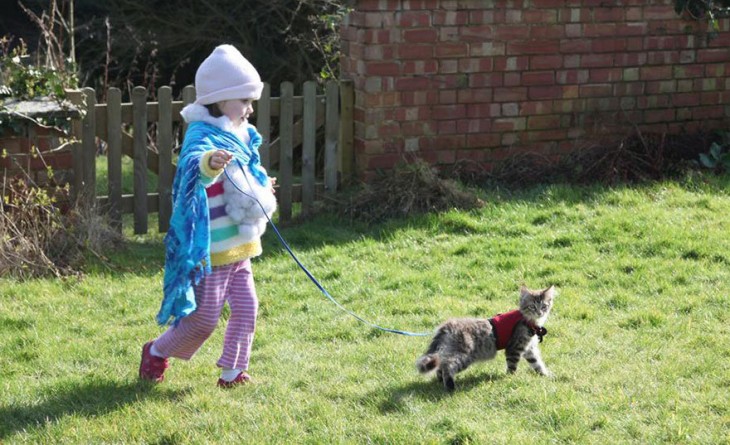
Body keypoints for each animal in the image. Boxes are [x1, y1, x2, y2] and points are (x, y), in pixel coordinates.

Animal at [416, 286, 552, 390]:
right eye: (532, 307)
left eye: (544, 306)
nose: (540, 313)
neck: (530, 322)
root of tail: (447, 325)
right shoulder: (514, 348)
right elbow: (512, 366)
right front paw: (509, 378)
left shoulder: (530, 349)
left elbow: (537, 363)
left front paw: (545, 374)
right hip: (463, 356)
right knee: (447, 366)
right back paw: (450, 387)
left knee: (441, 364)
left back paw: (440, 382)